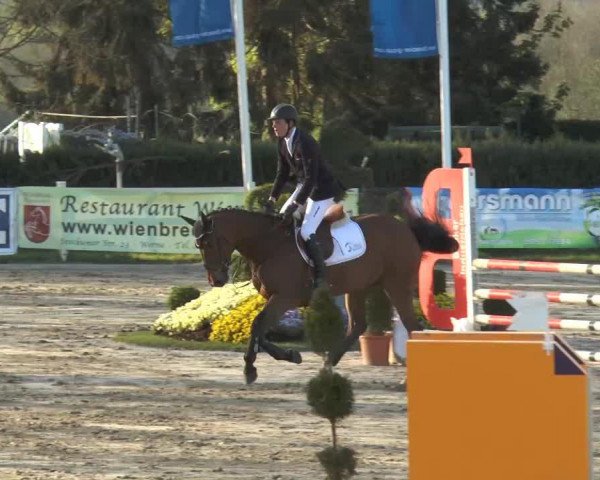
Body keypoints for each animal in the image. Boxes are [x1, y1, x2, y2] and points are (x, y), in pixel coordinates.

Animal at [180, 201, 458, 384]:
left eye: (208, 242)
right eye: (198, 245)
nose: (216, 280)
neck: (269, 245)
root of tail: (404, 228)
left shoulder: (285, 297)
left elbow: (258, 325)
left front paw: (250, 369)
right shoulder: (274, 298)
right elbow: (260, 330)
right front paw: (291, 355)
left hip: (396, 284)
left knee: (411, 325)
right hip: (359, 287)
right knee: (357, 325)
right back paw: (327, 365)